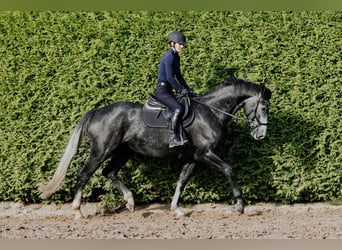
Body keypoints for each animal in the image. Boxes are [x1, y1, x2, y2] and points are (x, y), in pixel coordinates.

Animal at [39, 77, 272, 219]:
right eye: (263, 107)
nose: (260, 135)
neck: (211, 111)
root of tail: (97, 111)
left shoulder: (194, 157)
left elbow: (181, 182)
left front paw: (176, 210)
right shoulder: (206, 153)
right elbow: (229, 170)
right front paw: (240, 205)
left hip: (123, 151)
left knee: (109, 172)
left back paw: (130, 201)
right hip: (101, 151)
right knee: (84, 175)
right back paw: (77, 211)